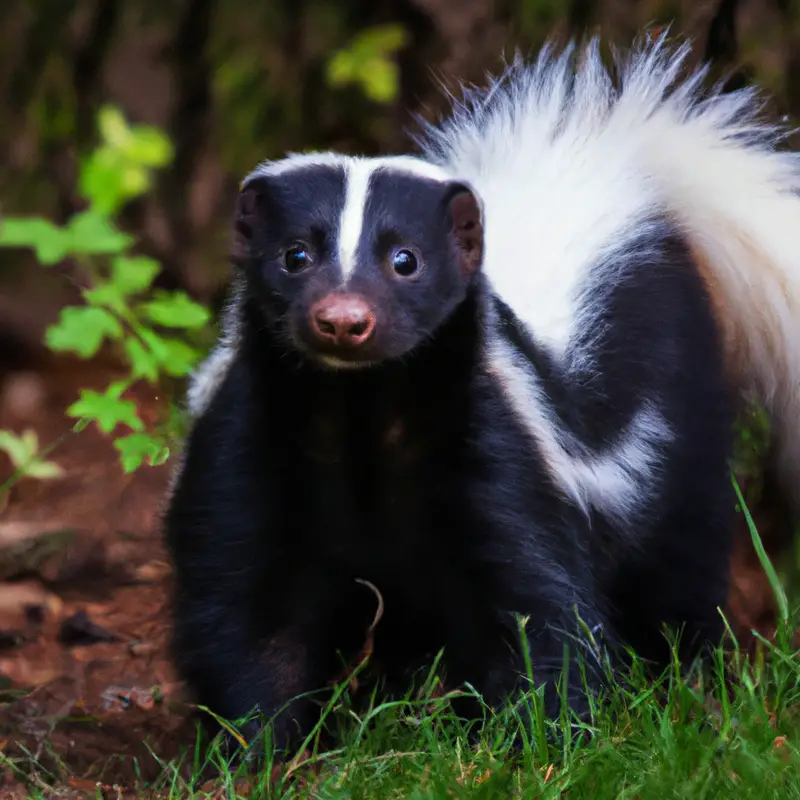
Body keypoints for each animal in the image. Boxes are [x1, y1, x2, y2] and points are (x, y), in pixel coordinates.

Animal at [161, 32, 800, 756]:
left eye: (405, 260)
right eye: (295, 255)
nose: (344, 319)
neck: (361, 415)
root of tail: (618, 161)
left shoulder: (500, 452)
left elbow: (531, 610)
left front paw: (536, 748)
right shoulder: (249, 447)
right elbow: (251, 614)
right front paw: (256, 748)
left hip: (684, 424)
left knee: (680, 569)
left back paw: (690, 684)